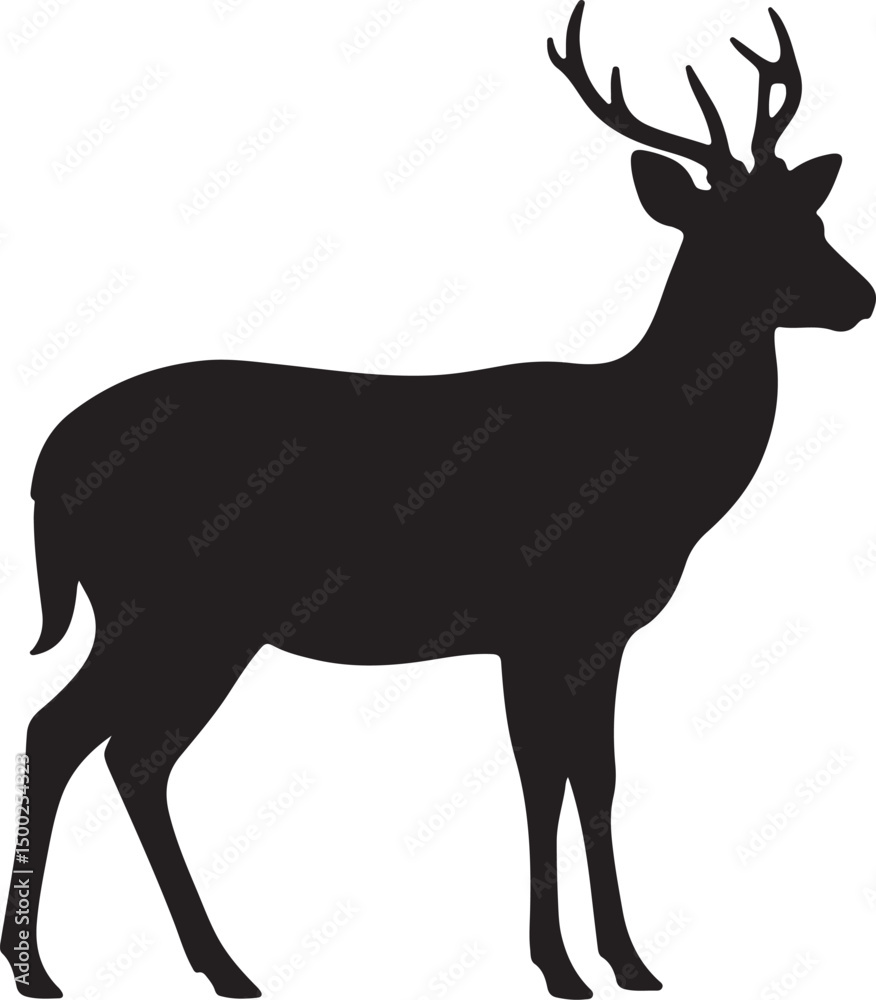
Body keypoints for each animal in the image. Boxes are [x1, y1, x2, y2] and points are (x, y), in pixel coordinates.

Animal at [2, 3, 873, 998]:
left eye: (810, 214)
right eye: (738, 230)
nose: (860, 297)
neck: (652, 464)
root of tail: (46, 460)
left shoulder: (597, 633)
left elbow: (595, 778)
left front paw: (628, 960)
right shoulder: (539, 621)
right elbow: (543, 779)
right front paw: (561, 966)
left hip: (195, 623)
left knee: (131, 754)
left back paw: (215, 965)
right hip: (160, 603)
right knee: (64, 730)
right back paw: (44, 968)